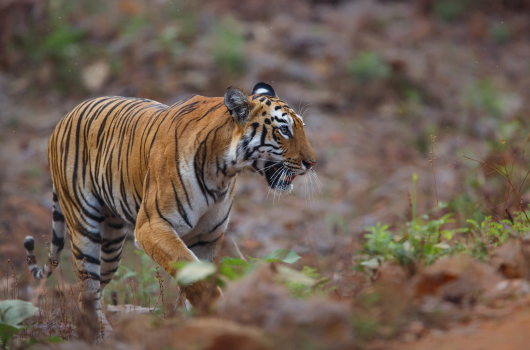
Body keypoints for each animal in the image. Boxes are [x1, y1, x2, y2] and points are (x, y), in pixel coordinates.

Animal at [22, 81, 316, 326]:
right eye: (284, 130)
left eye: (301, 127)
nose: (312, 162)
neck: (223, 172)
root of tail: (65, 116)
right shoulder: (153, 227)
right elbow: (192, 274)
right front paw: (220, 311)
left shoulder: (208, 237)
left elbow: (200, 277)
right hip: (85, 226)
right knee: (88, 291)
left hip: (112, 242)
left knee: (95, 290)